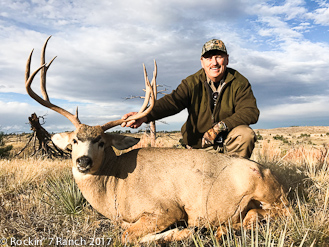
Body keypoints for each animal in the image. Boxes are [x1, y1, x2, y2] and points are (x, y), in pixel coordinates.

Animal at [25, 36, 288, 243]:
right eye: (75, 141)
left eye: (101, 141)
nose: (83, 162)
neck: (115, 185)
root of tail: (270, 174)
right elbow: (127, 231)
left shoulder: (166, 208)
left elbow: (128, 236)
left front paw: (185, 231)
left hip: (268, 197)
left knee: (272, 216)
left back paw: (216, 230)